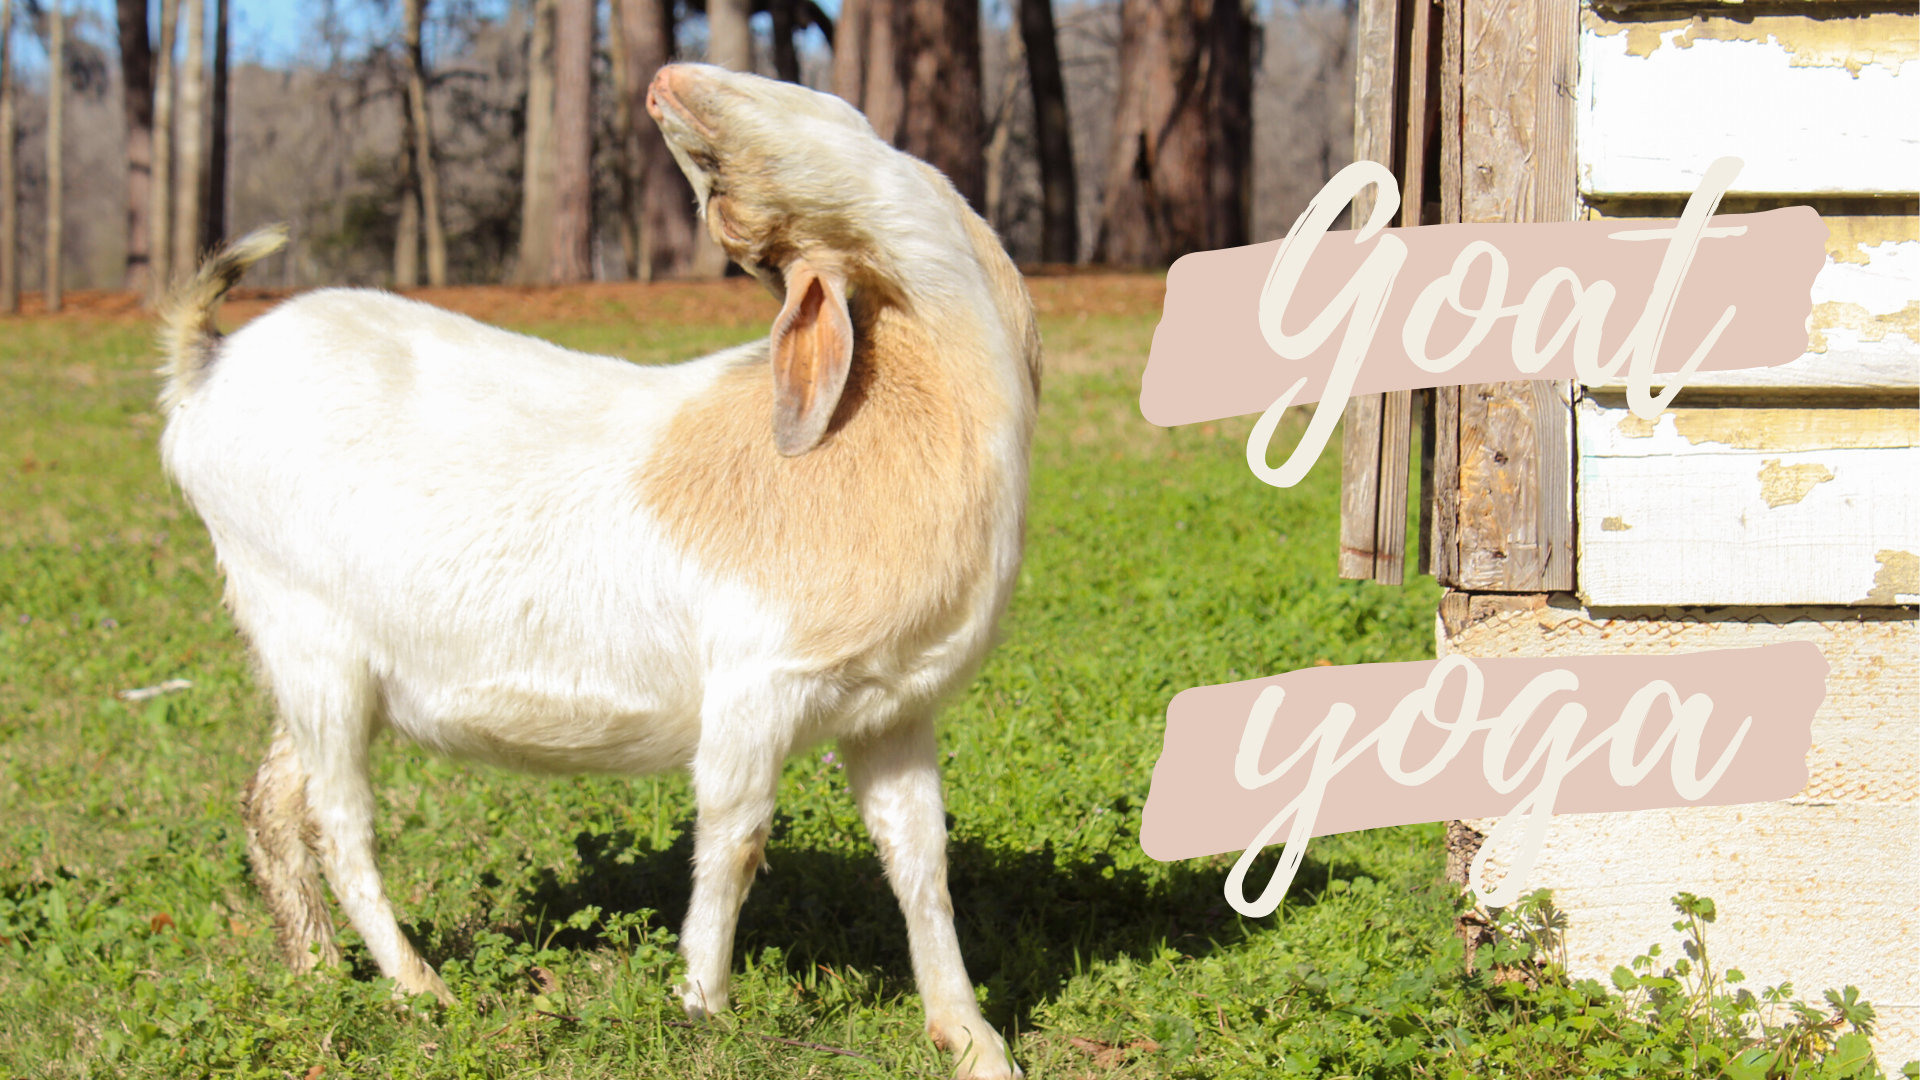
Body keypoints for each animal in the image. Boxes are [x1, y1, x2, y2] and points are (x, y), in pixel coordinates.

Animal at [156, 63, 1039, 1079]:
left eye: (723, 199)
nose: (663, 83)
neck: (911, 418)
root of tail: (205, 371)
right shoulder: (757, 683)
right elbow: (735, 835)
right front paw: (703, 1008)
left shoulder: (894, 707)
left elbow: (919, 856)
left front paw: (972, 1039)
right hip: (309, 638)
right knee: (339, 824)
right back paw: (421, 991)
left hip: (309, 661)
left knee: (271, 801)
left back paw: (316, 973)